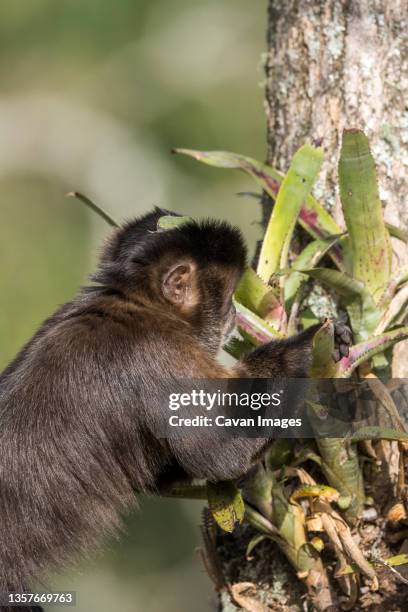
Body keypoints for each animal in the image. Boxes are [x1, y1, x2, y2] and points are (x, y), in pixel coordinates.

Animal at [0, 209, 350, 608]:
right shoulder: (159, 353)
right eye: (227, 297)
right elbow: (221, 454)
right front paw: (306, 346)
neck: (141, 304)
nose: (234, 311)